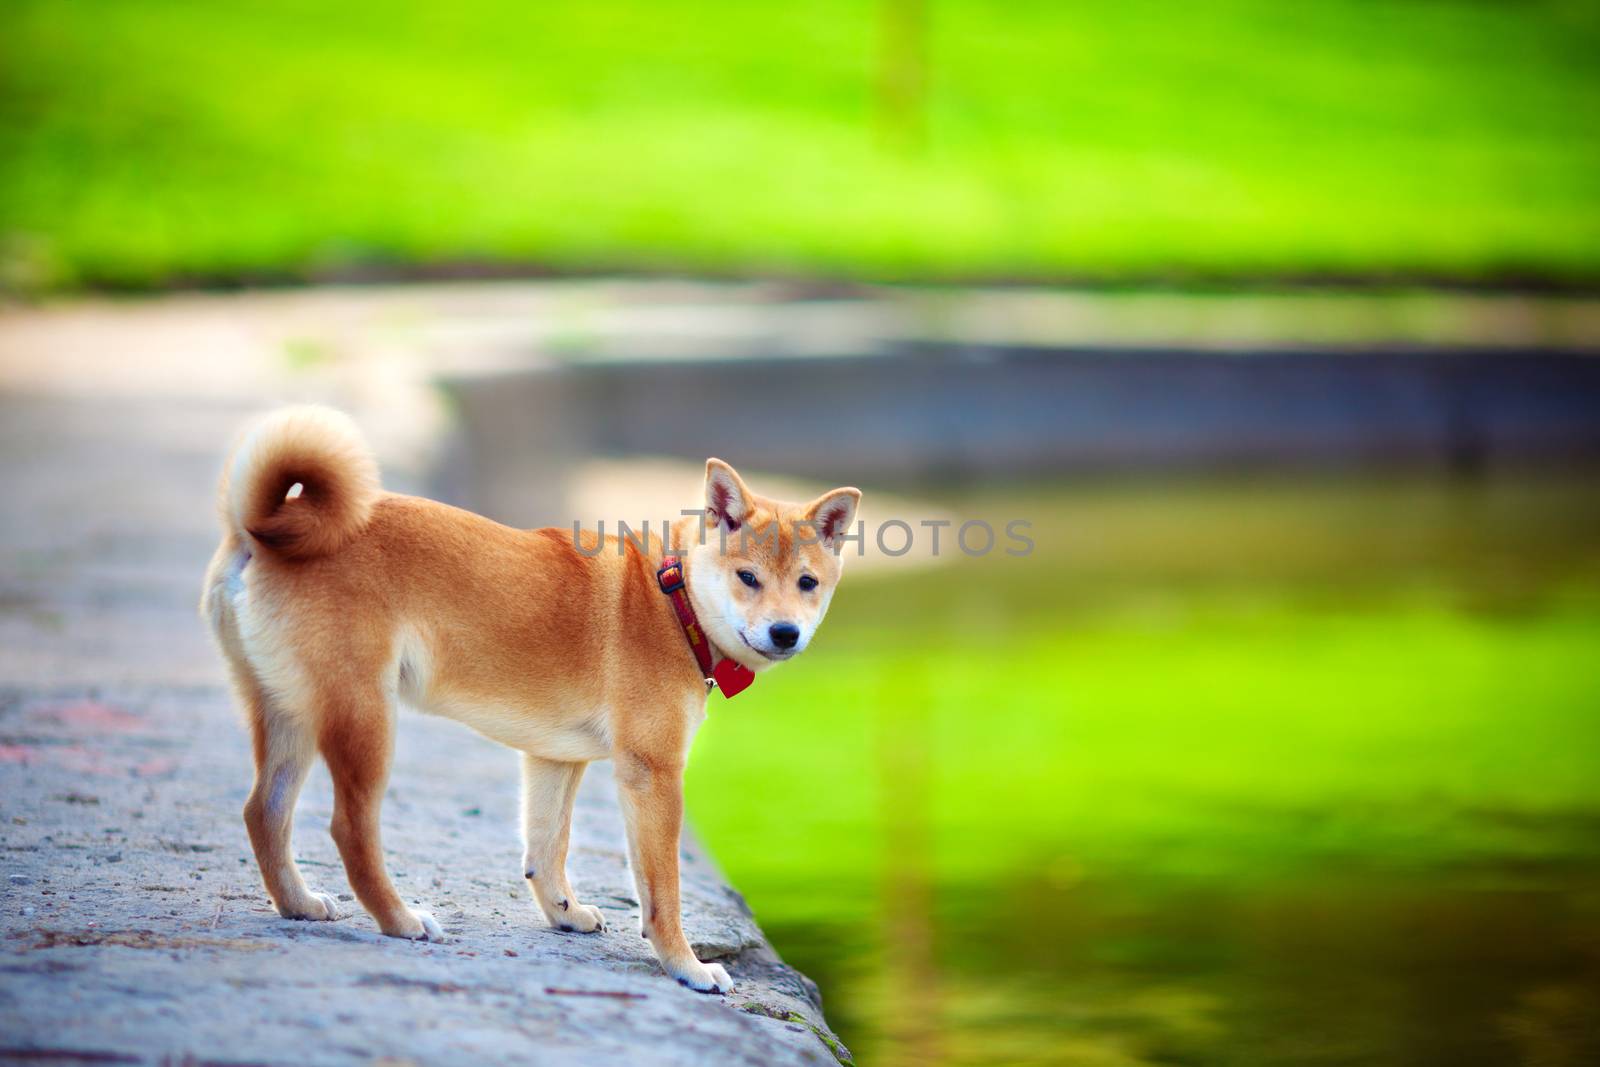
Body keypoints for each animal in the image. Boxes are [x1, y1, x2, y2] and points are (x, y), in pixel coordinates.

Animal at [201, 406, 864, 991]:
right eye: (748, 578)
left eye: (807, 583)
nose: (786, 632)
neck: (671, 598)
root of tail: (259, 531)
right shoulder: (652, 774)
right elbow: (662, 893)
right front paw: (687, 968)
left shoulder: (554, 760)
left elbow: (547, 850)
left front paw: (564, 914)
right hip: (362, 719)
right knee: (348, 830)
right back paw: (400, 920)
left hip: (289, 714)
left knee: (263, 813)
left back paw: (298, 904)